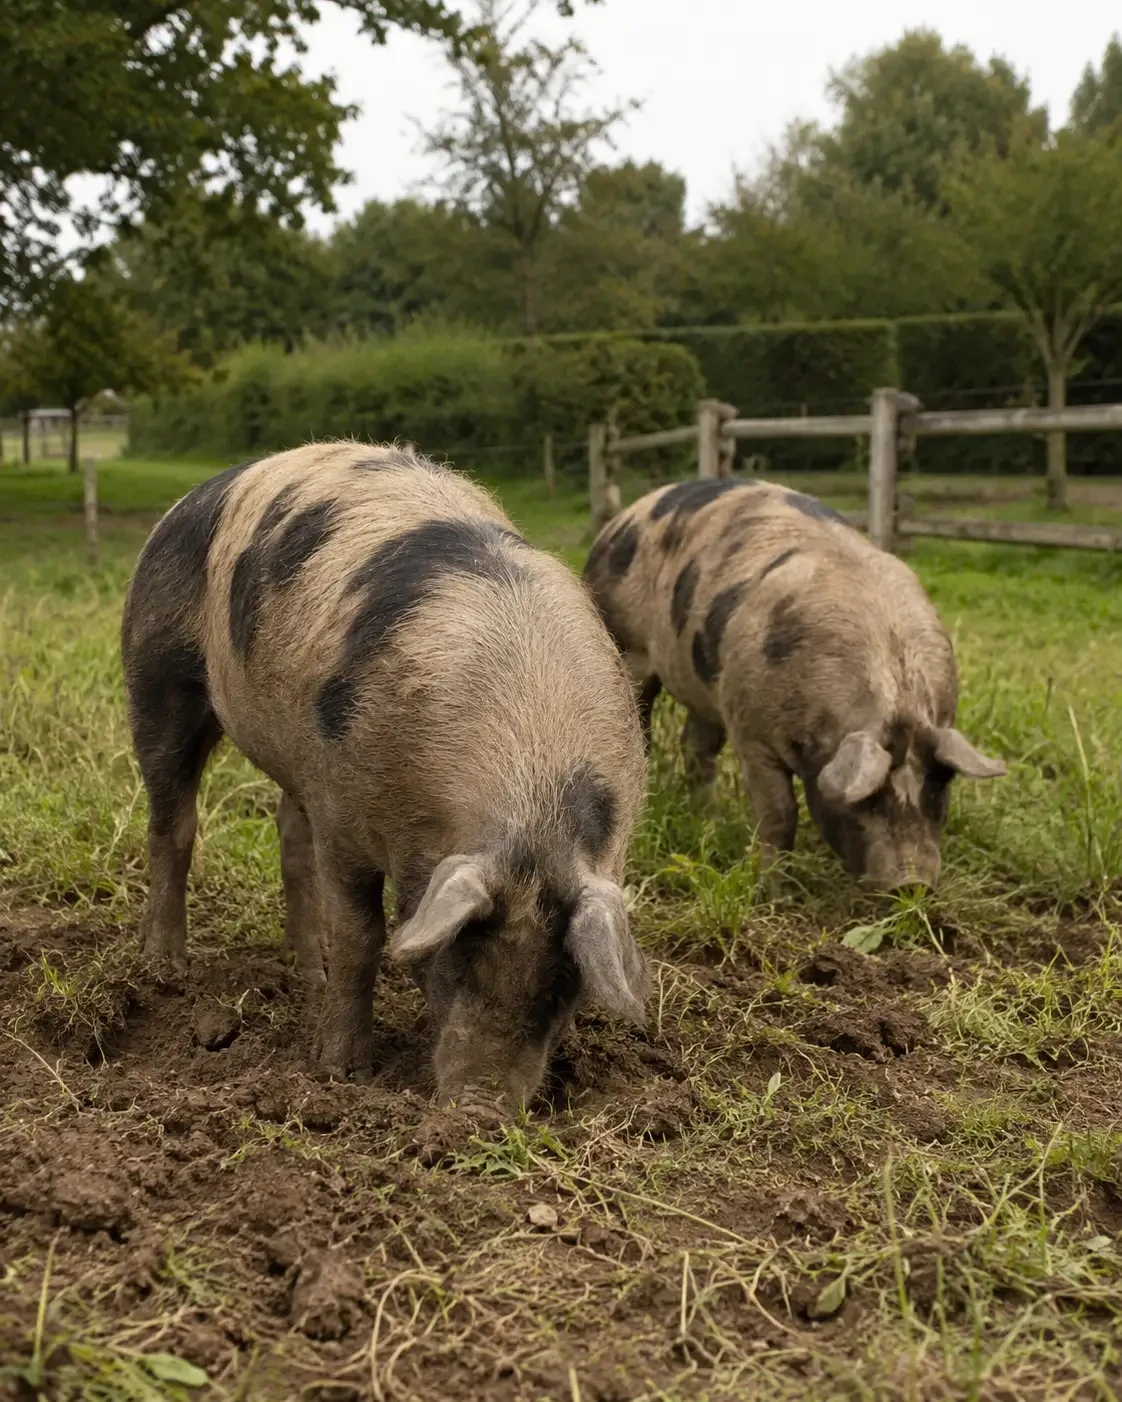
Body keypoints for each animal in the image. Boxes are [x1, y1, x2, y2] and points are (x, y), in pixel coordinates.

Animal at [121, 442, 648, 1111]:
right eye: (457, 955)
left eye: (562, 985)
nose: (480, 1111)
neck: (530, 785)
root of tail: (193, 497)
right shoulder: (346, 816)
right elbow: (362, 935)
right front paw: (341, 1073)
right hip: (157, 673)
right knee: (174, 821)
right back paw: (165, 967)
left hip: (302, 758)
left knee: (290, 833)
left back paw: (306, 967)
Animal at [583, 477, 1005, 889]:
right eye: (869, 799)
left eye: (937, 787)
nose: (912, 883)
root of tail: (618, 521)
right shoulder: (751, 731)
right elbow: (780, 813)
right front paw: (774, 891)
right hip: (628, 645)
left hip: (707, 688)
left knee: (697, 747)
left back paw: (711, 818)